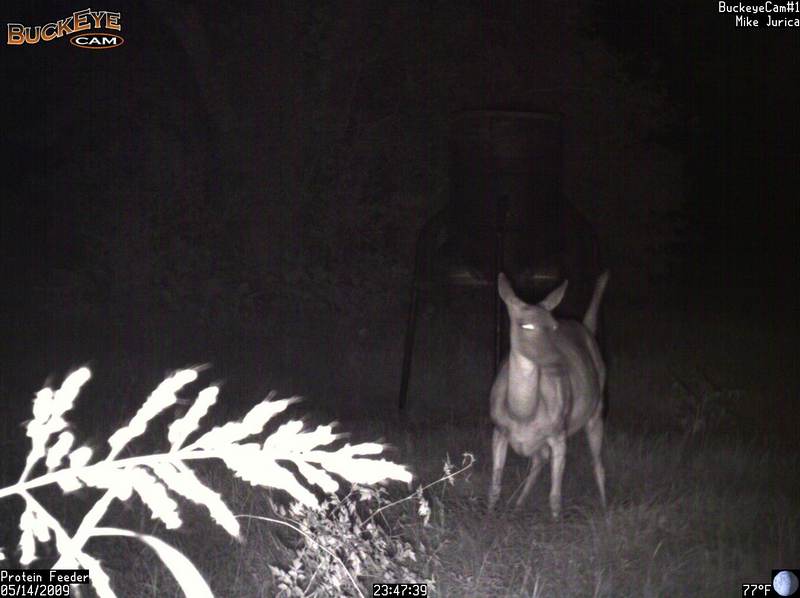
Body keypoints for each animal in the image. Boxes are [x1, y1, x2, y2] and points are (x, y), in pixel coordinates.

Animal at [488, 272, 608, 520]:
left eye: (553, 327)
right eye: (526, 325)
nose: (559, 363)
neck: (523, 414)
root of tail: (586, 328)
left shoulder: (558, 433)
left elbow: (555, 497)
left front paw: (556, 523)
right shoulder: (498, 430)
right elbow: (494, 487)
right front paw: (488, 517)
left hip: (597, 409)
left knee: (598, 464)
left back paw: (605, 510)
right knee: (539, 460)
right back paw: (517, 505)